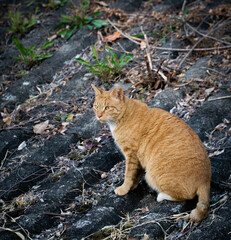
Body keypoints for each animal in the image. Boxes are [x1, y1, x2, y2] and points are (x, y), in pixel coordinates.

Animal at [91, 84, 210, 223]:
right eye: (96, 106)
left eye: (107, 107)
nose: (98, 115)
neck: (123, 116)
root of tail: (205, 179)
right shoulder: (139, 159)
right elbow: (135, 175)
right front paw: (132, 187)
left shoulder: (131, 155)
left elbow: (128, 175)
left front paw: (124, 189)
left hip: (151, 175)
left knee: (186, 196)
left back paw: (162, 196)